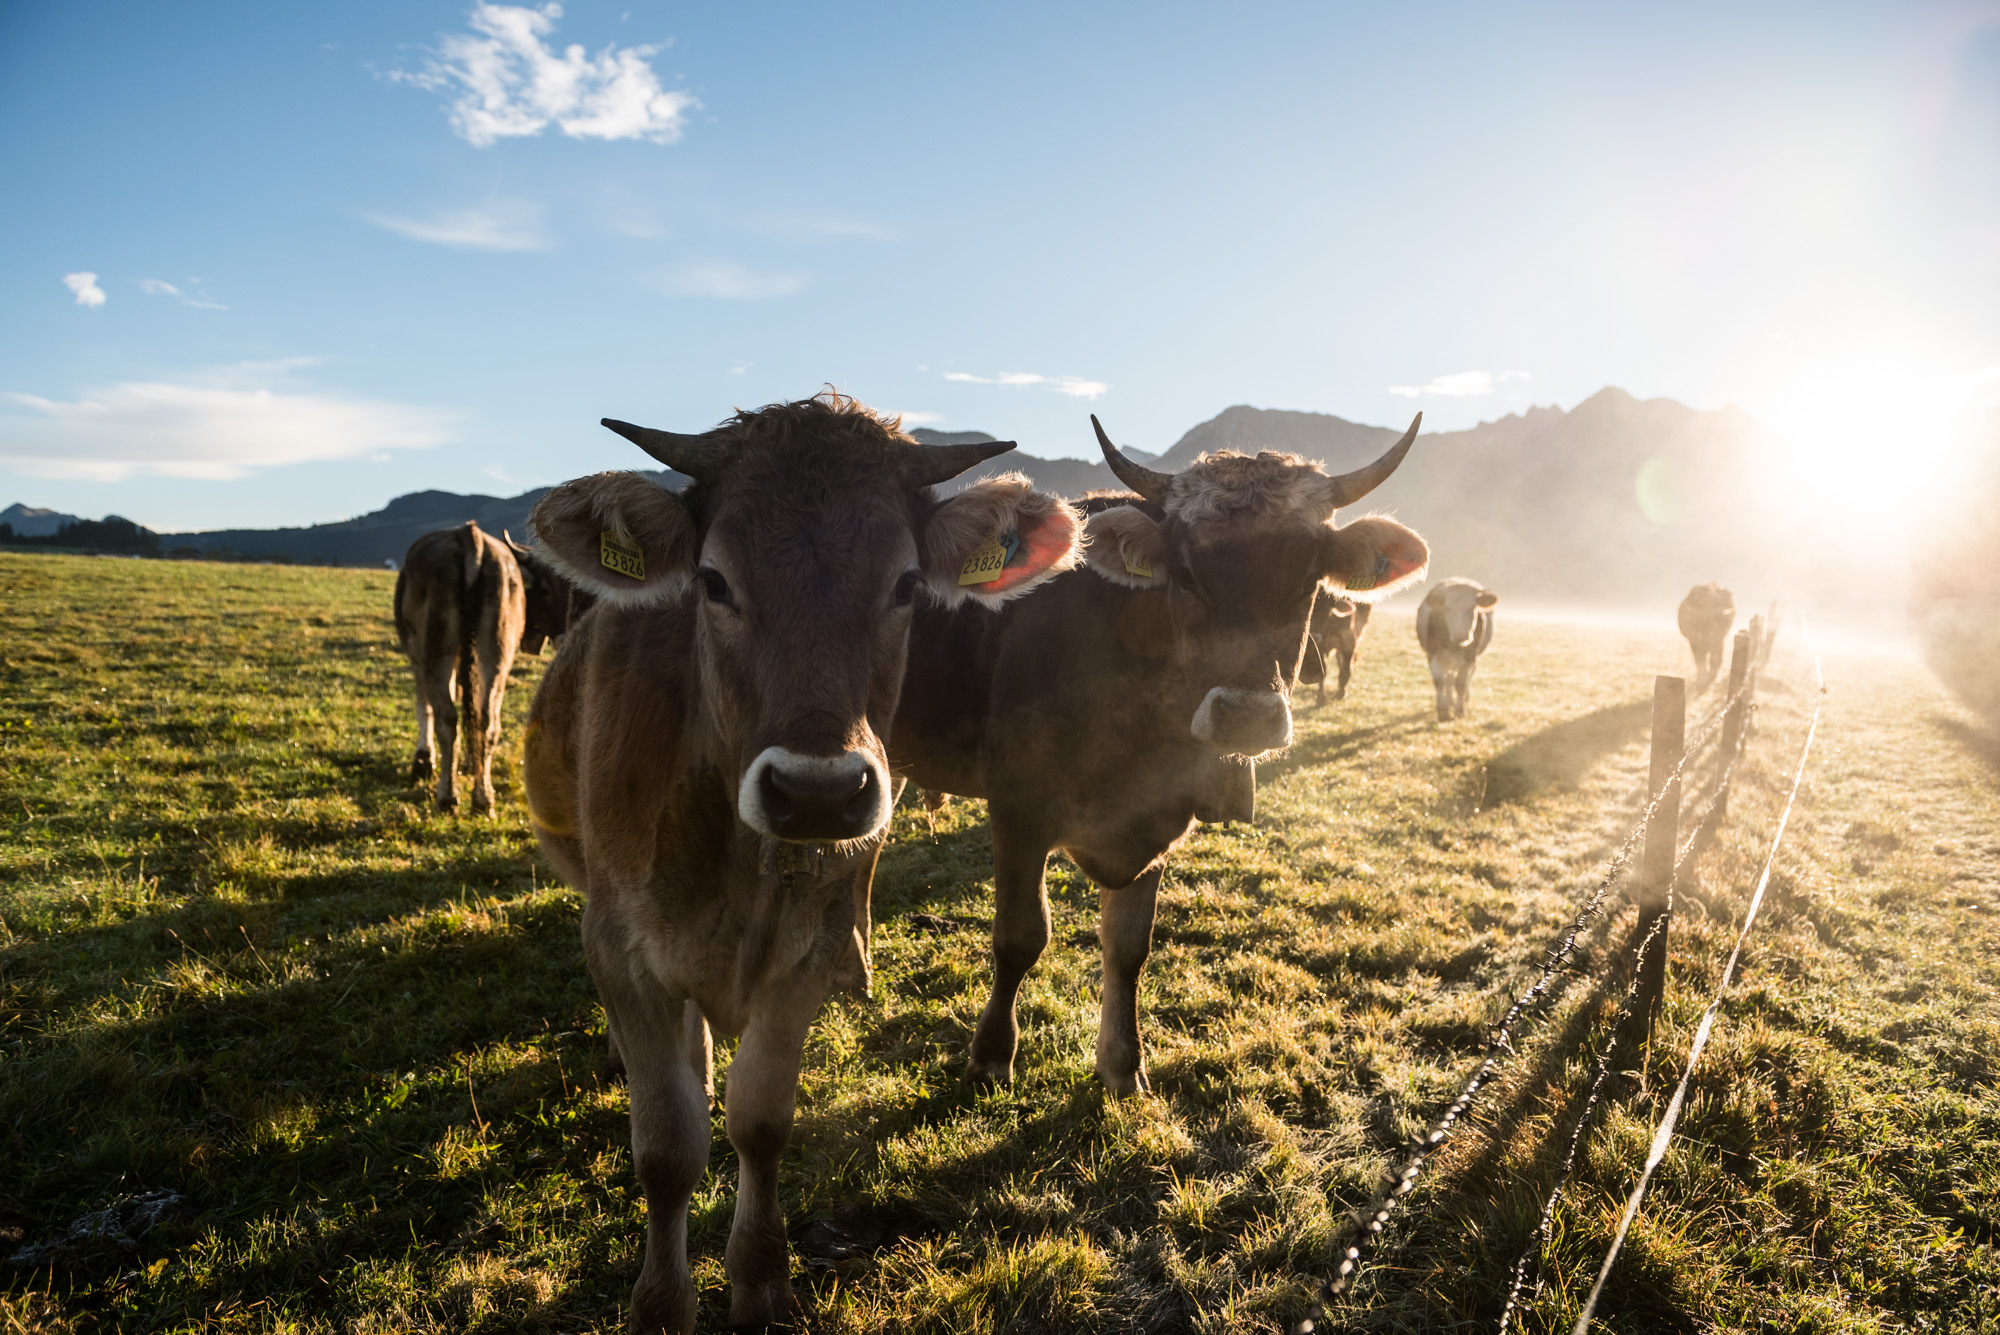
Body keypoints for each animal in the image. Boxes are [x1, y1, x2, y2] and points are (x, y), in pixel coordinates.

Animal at [520, 394, 1081, 1332]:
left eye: (906, 585)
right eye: (712, 580)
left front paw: (759, 1279)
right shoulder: (620, 946)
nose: (818, 793)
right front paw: (661, 1301)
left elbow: (760, 1122)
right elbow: (668, 1146)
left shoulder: (810, 951)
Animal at [878, 413, 1429, 1095]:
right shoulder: (1017, 810)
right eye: (1187, 574)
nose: (1246, 717)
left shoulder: (1157, 824)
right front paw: (991, 1055)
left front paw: (1122, 1063)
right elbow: (1020, 936)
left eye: (1308, 580)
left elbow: (1128, 947)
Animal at [1416, 577, 1498, 722]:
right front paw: (1443, 711)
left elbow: (1461, 683)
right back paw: (1449, 701)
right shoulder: (1432, 653)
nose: (1462, 635)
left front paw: (1460, 710)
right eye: (1447, 608)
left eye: (1473, 608)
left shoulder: (1470, 656)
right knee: (1448, 679)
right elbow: (1439, 682)